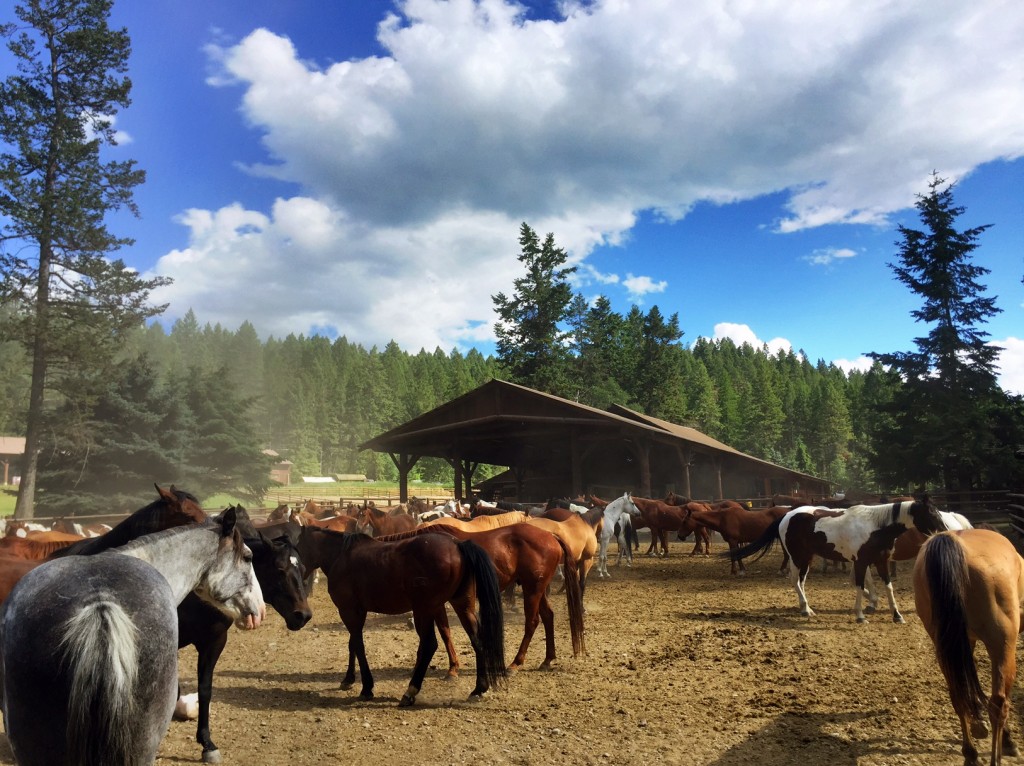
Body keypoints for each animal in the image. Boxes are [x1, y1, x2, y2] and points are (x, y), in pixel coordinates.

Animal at [913, 528, 1024, 766]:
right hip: (1002, 645)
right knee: (998, 703)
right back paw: (997, 755)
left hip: (946, 647)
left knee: (958, 696)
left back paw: (970, 752)